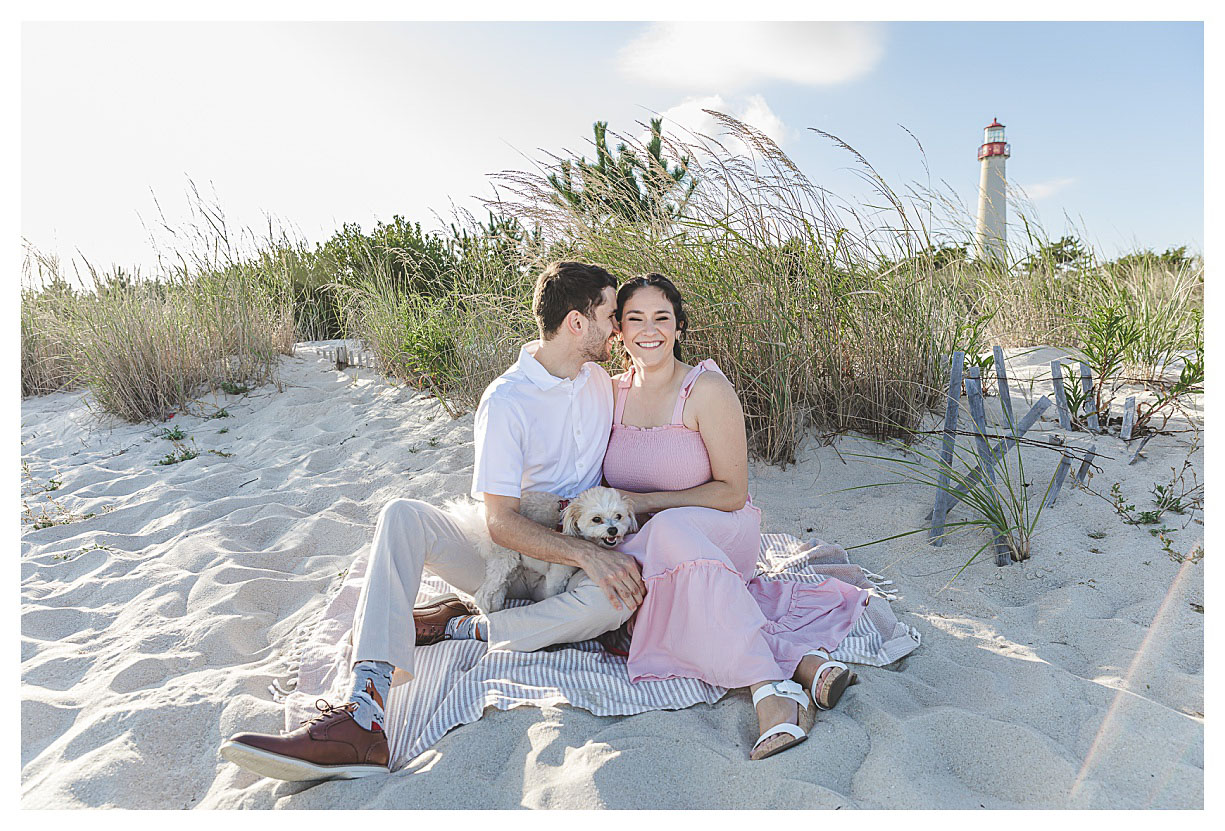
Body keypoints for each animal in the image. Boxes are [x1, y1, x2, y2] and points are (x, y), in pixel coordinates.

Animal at [450, 485, 641, 615]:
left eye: (619, 516)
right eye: (596, 519)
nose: (613, 530)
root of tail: (481, 517)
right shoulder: (557, 574)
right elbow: (552, 595)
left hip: (513, 564)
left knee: (499, 589)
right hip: (505, 558)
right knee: (483, 594)